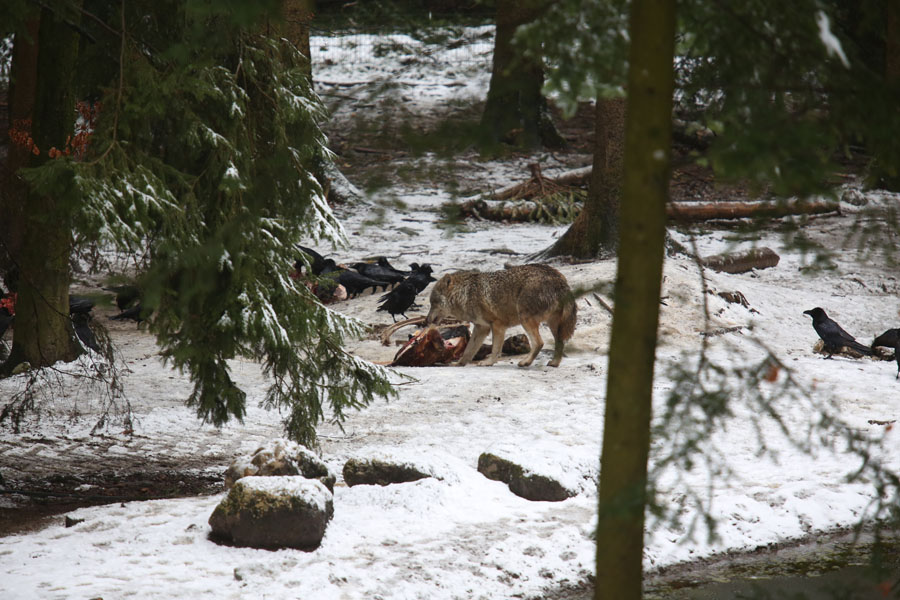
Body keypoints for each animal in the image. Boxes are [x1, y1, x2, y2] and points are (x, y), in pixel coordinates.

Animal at [424, 264, 577, 368]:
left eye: (433, 303)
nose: (426, 320)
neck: (466, 293)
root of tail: (559, 279)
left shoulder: (497, 325)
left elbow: (495, 349)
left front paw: (488, 362)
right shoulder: (481, 328)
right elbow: (468, 351)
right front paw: (459, 364)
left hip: (525, 319)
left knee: (539, 343)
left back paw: (525, 362)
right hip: (553, 324)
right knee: (560, 342)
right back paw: (554, 363)